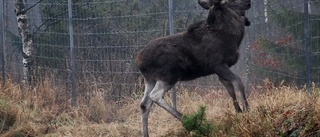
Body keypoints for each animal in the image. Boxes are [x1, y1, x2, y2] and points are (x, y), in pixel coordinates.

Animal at [134, 0, 250, 136]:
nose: (248, 2)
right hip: (169, 75)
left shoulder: (220, 70)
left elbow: (230, 88)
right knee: (155, 96)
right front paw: (247, 110)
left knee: (144, 104)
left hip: (150, 80)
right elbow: (238, 82)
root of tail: (139, 61)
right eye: (232, 1)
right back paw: (188, 120)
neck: (231, 35)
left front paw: (238, 111)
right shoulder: (218, 65)